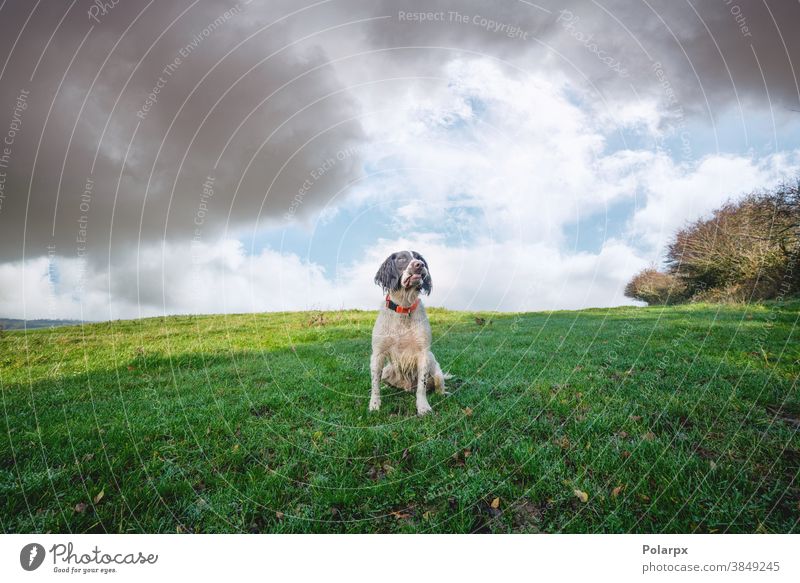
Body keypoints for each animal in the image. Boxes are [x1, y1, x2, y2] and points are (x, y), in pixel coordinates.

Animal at [370, 250, 446, 416]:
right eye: (401, 259)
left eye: (419, 258)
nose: (420, 265)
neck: (404, 308)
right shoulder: (378, 353)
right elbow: (375, 383)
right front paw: (374, 404)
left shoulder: (424, 353)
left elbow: (421, 387)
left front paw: (423, 407)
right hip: (387, 370)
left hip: (435, 370)